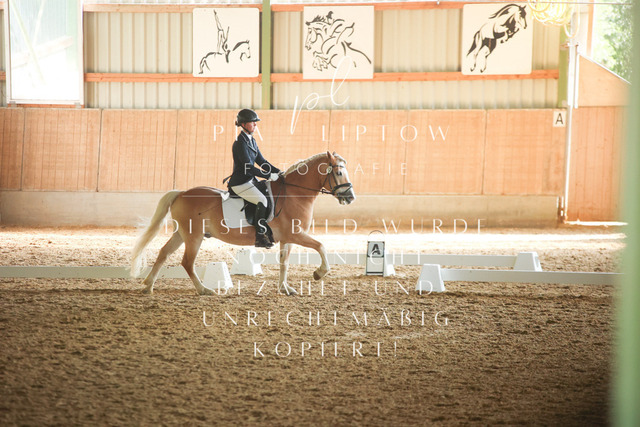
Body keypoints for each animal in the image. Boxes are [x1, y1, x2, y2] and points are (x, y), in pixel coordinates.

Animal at [131, 152, 355, 296]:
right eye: (338, 172)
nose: (350, 197)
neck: (293, 194)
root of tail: (182, 193)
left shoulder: (288, 238)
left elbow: (284, 263)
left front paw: (285, 289)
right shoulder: (296, 235)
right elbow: (321, 246)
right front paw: (319, 273)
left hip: (181, 233)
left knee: (163, 253)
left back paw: (148, 286)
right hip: (194, 237)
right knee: (187, 262)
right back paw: (204, 290)